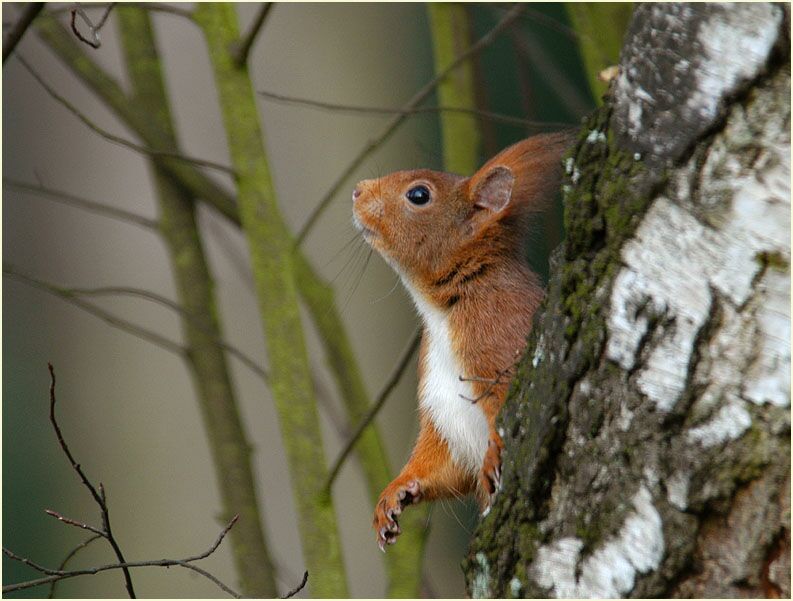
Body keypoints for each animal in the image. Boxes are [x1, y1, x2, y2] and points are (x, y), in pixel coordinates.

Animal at [351, 131, 573, 551]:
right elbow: (444, 464)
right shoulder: (443, 407)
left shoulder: (502, 335)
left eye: (418, 195)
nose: (357, 190)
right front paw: (395, 492)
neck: (442, 313)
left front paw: (492, 456)